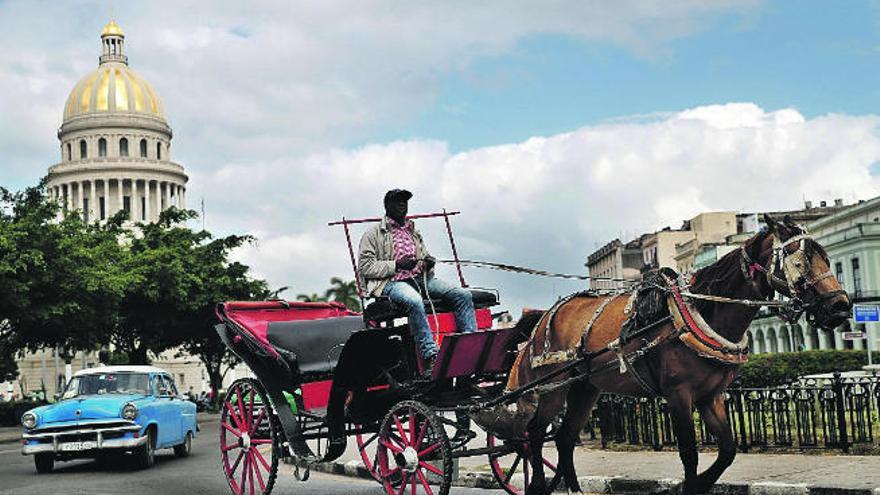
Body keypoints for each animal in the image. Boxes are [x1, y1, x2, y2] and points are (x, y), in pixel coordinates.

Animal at [492, 216, 848, 495]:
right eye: (798, 259)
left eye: (827, 258)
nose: (840, 306)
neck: (703, 311)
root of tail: (543, 319)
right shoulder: (679, 395)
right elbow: (689, 453)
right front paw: (688, 485)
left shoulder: (711, 396)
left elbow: (728, 450)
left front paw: (700, 483)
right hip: (552, 389)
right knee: (535, 436)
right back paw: (537, 484)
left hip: (585, 389)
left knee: (565, 439)